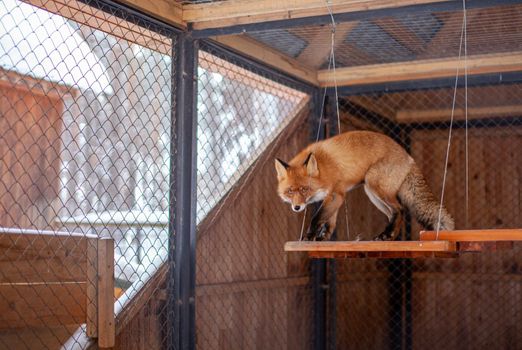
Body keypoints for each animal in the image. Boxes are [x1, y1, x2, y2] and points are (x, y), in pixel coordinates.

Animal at [274, 130, 452, 242]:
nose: (297, 207)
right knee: (393, 214)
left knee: (400, 209)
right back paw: (388, 236)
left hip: (373, 183)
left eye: (304, 189)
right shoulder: (335, 197)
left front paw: (309, 236)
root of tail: (409, 157)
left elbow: (317, 218)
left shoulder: (335, 194)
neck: (323, 168)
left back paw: (387, 235)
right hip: (373, 194)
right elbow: (329, 222)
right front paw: (322, 238)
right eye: (290, 191)